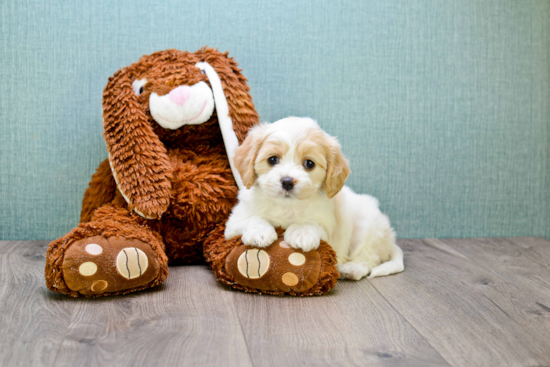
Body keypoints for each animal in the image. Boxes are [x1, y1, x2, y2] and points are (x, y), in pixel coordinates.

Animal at [225, 116, 406, 280]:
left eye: (309, 164)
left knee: (369, 258)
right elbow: (252, 218)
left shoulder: (328, 228)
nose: (287, 181)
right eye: (272, 159)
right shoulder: (233, 223)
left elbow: (311, 222)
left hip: (368, 227)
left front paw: (301, 233)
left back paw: (351, 269)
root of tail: (390, 241)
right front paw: (260, 232)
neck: (287, 205)